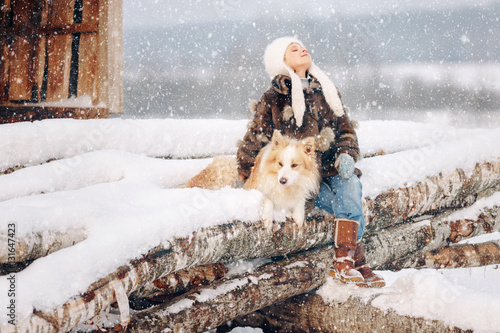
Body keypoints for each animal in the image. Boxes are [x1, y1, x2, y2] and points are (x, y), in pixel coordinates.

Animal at [184, 128, 320, 227]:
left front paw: (299, 217)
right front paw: (268, 220)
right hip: (227, 166)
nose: (282, 181)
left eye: (294, 165)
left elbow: (299, 201)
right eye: (280, 163)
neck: (286, 189)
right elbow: (268, 200)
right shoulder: (258, 188)